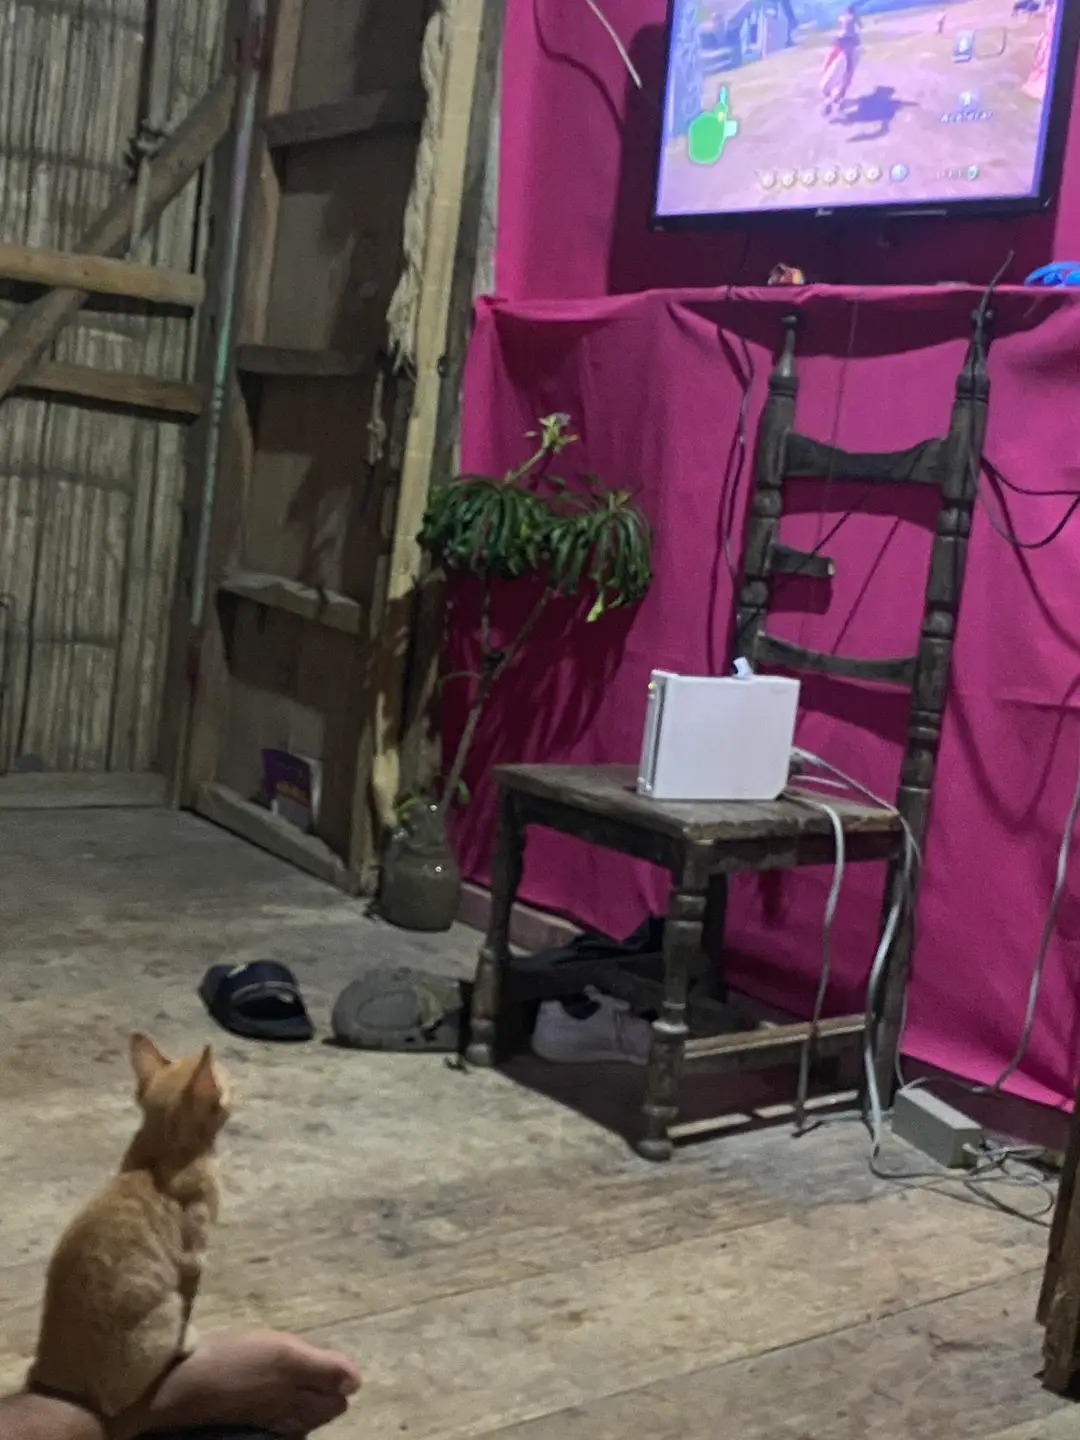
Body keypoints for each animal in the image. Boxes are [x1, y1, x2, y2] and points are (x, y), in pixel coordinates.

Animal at [28, 1033, 231, 1418]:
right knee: (118, 1403)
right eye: (226, 1080)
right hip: (165, 1306)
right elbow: (191, 1302)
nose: (235, 1082)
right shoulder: (194, 1259)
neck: (160, 1151)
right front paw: (186, 1343)